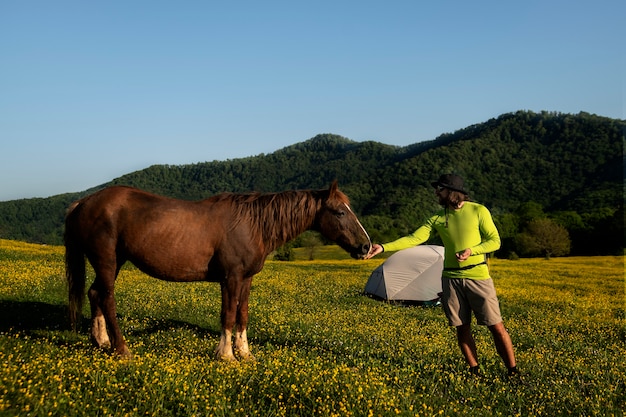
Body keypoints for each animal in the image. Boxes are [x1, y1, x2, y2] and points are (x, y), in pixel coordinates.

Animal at [64, 180, 370, 360]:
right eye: (340, 212)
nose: (366, 246)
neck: (252, 224)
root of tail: (84, 202)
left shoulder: (246, 279)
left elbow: (242, 315)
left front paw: (245, 353)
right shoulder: (230, 278)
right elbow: (228, 314)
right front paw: (226, 355)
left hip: (114, 262)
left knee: (95, 293)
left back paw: (100, 341)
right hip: (107, 261)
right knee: (107, 298)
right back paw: (121, 348)